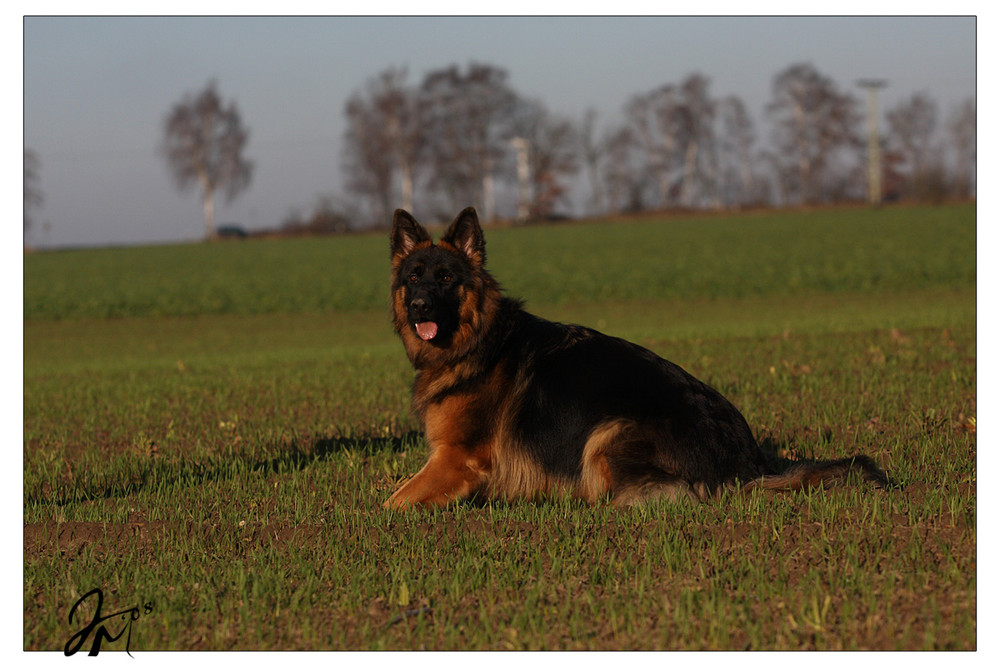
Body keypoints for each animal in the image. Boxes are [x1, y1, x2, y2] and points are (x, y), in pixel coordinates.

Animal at [382, 206, 892, 508]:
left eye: (447, 279)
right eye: (414, 278)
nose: (419, 307)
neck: (477, 341)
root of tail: (749, 465)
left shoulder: (456, 459)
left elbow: (394, 502)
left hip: (607, 434)